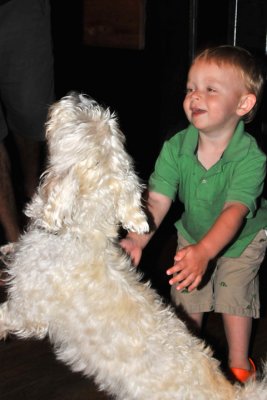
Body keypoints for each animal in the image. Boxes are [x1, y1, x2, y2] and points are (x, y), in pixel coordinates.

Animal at [0, 92, 267, 398]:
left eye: (80, 122)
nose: (78, 96)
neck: (80, 232)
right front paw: (8, 249)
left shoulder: (28, 311)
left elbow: (5, 316)